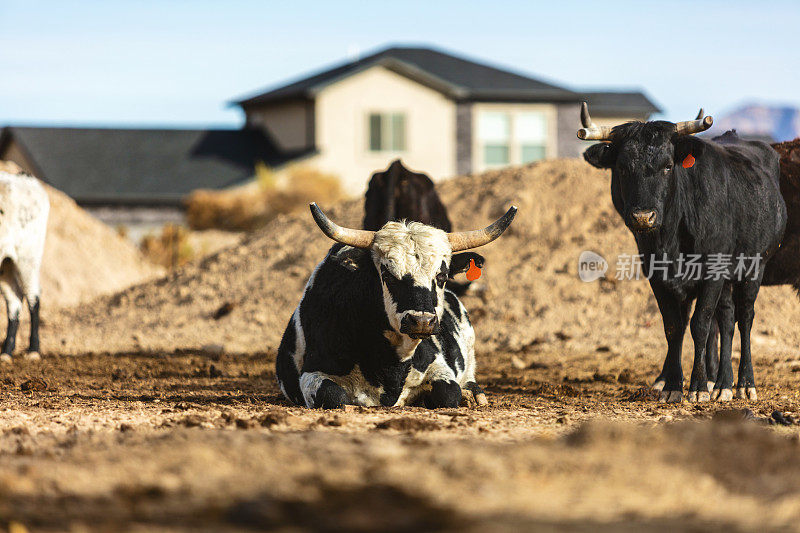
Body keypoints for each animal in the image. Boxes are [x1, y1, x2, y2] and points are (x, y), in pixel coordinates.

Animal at [580, 103, 788, 404]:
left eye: (668, 166)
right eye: (621, 167)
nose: (643, 216)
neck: (671, 240)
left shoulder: (713, 273)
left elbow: (700, 324)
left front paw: (698, 386)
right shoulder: (657, 276)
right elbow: (674, 326)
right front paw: (672, 385)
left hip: (753, 268)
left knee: (745, 318)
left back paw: (743, 384)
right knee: (726, 320)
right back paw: (722, 383)